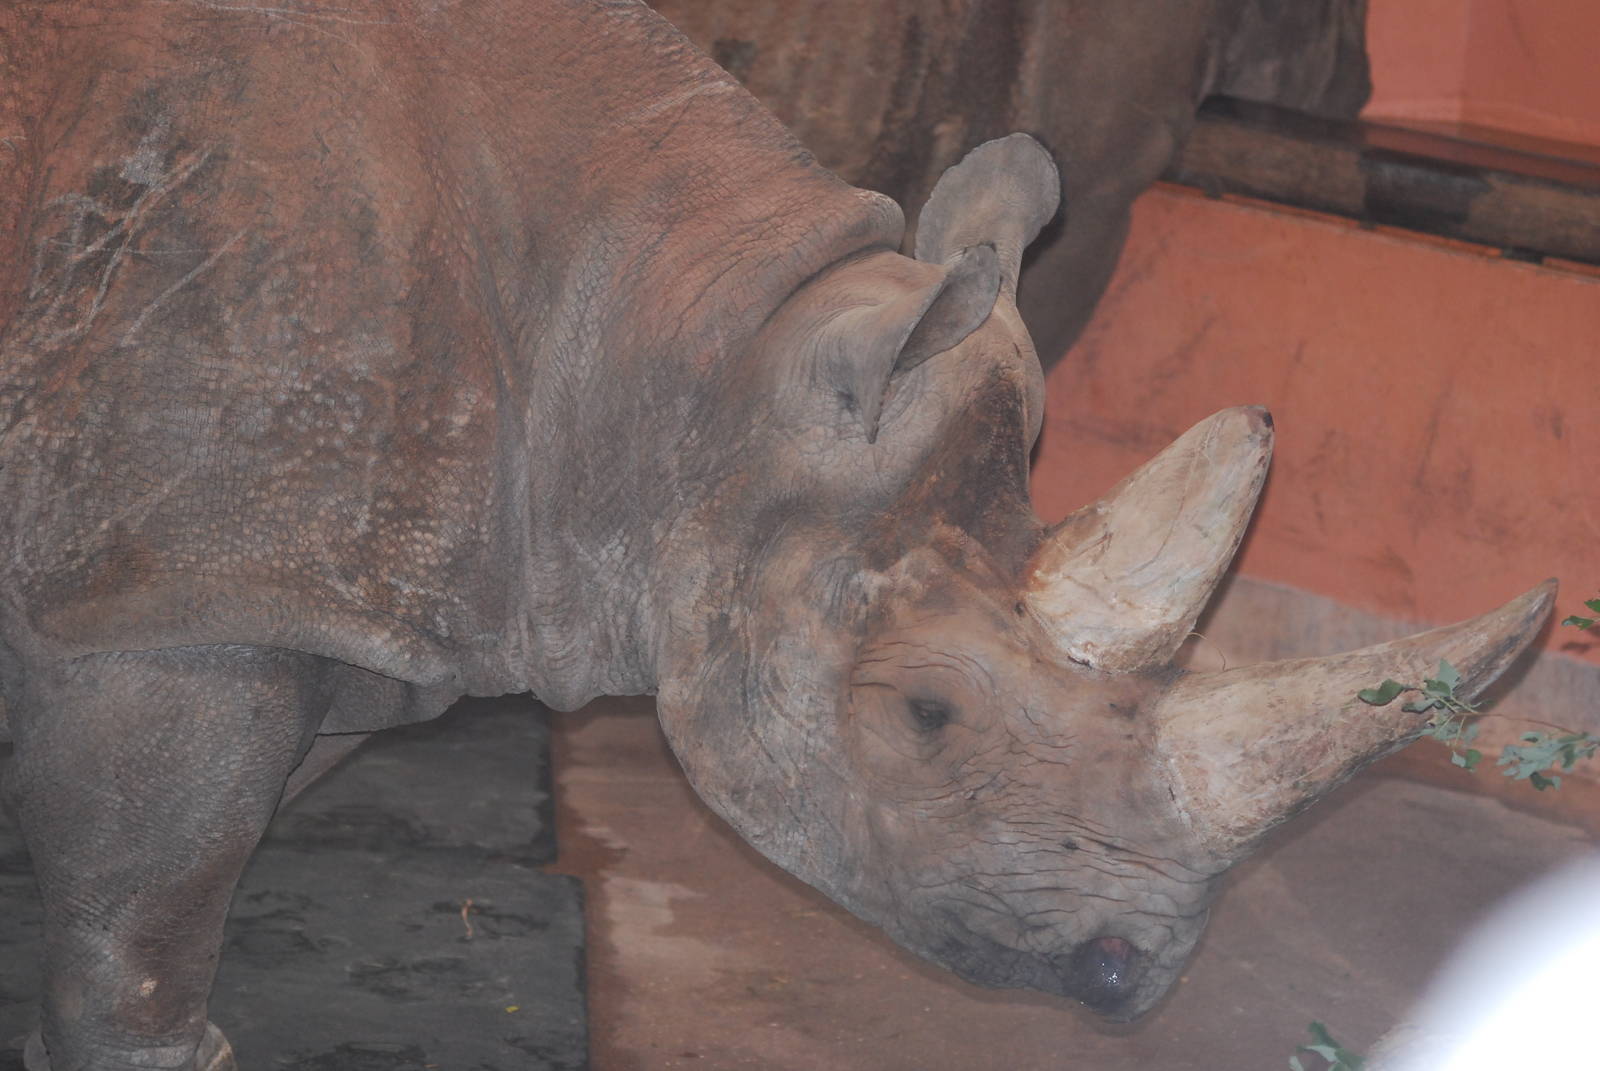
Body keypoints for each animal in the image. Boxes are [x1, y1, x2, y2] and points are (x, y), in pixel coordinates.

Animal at [0, 2, 1550, 1069]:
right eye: (925, 713)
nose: (1141, 972)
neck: (679, 340)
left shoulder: (319, 590)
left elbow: (144, 911)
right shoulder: (178, 599)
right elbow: (138, 964)